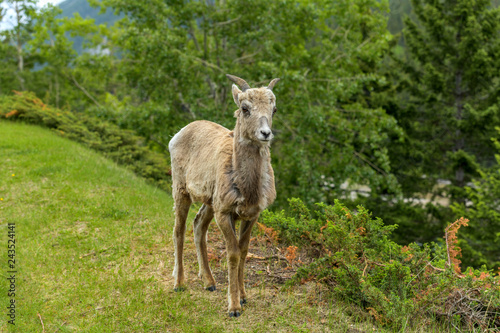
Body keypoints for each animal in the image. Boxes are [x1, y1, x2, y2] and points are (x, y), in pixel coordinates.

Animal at [169, 74, 280, 316]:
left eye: (273, 109)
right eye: (245, 108)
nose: (265, 133)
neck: (246, 187)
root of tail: (178, 134)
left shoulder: (252, 215)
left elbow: (244, 251)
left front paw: (244, 297)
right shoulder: (224, 213)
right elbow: (233, 253)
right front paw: (234, 307)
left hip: (209, 203)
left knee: (198, 226)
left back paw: (209, 282)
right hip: (181, 191)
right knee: (179, 230)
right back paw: (179, 283)